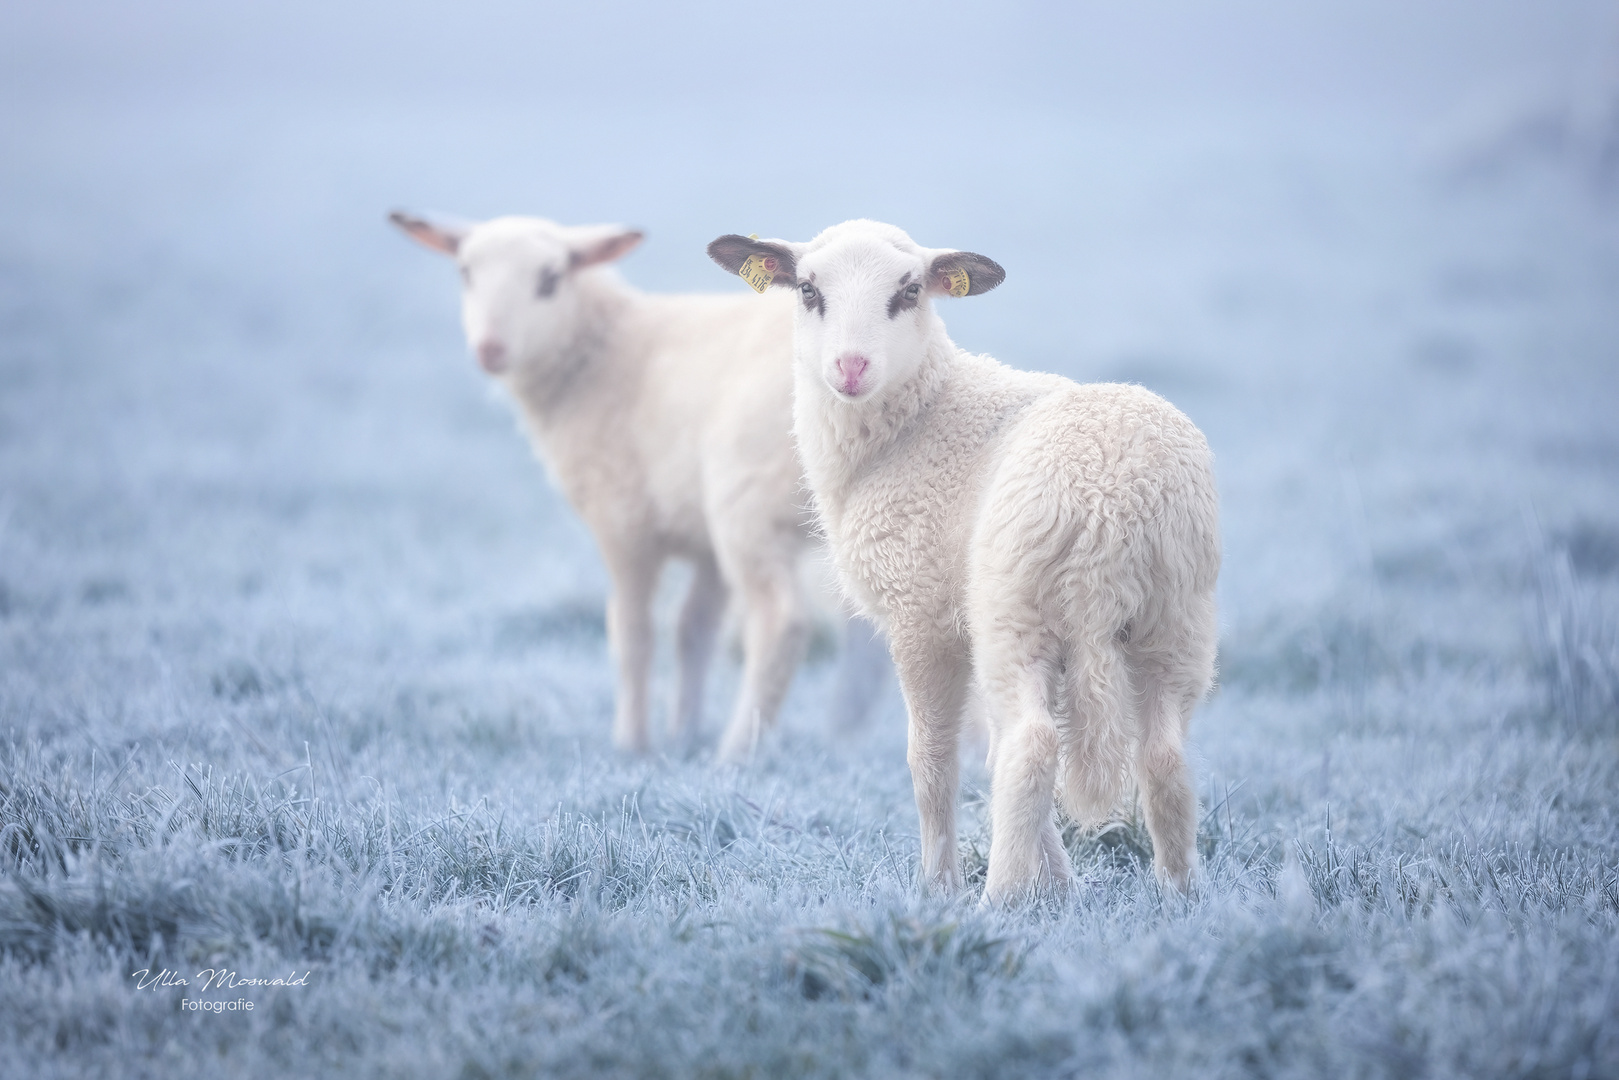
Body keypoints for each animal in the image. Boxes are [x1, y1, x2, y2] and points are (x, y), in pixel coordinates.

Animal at [391, 213, 887, 761]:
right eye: (465, 273)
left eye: (550, 280)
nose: (490, 349)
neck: (603, 355)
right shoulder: (702, 541)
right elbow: (693, 631)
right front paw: (683, 732)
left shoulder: (623, 521)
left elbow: (632, 634)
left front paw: (633, 743)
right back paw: (845, 739)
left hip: (745, 506)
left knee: (782, 622)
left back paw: (738, 752)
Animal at [702, 216, 1217, 893]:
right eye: (809, 290)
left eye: (909, 291)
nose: (850, 366)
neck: (920, 421)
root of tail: (1116, 504)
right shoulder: (957, 613)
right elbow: (988, 754)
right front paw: (1063, 886)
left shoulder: (920, 613)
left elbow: (933, 759)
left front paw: (939, 884)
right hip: (1176, 617)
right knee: (1161, 756)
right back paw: (1178, 893)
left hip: (1018, 611)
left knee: (1031, 746)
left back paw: (996, 898)